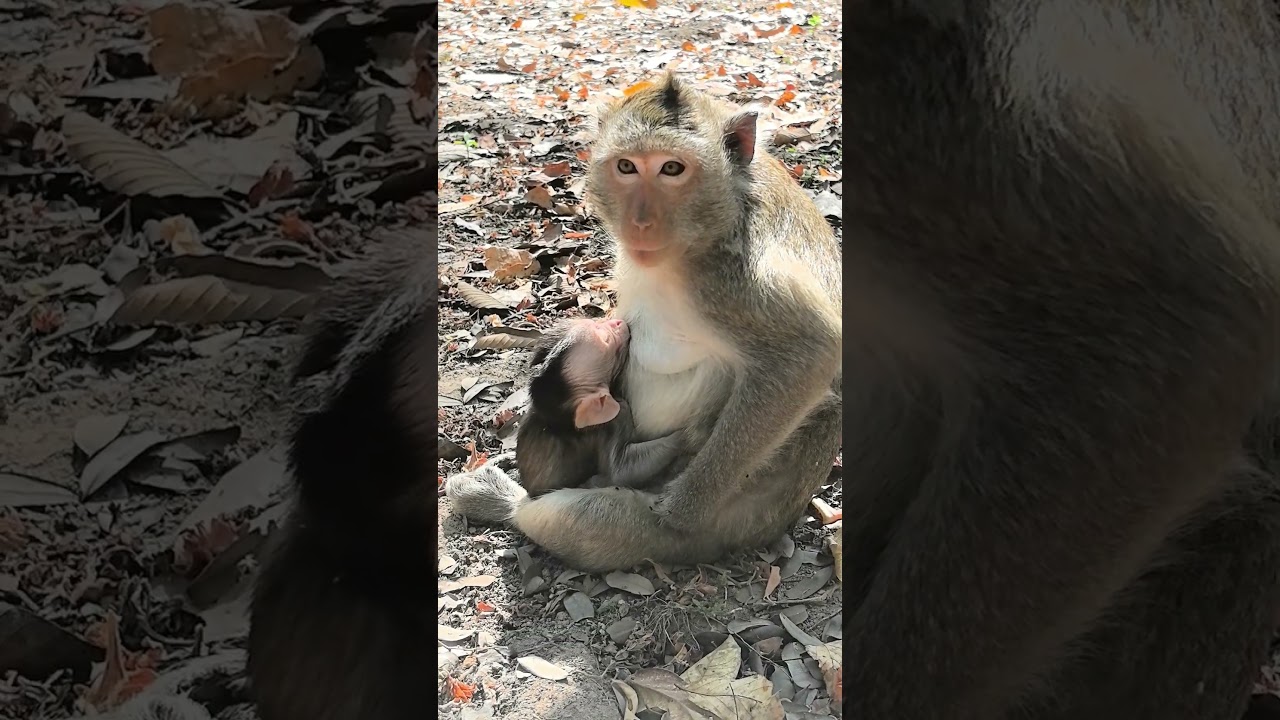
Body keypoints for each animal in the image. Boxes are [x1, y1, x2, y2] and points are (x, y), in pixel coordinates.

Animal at [515, 316, 689, 494]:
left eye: (595, 325)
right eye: (605, 339)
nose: (616, 322)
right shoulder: (617, 417)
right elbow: (621, 471)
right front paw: (685, 436)